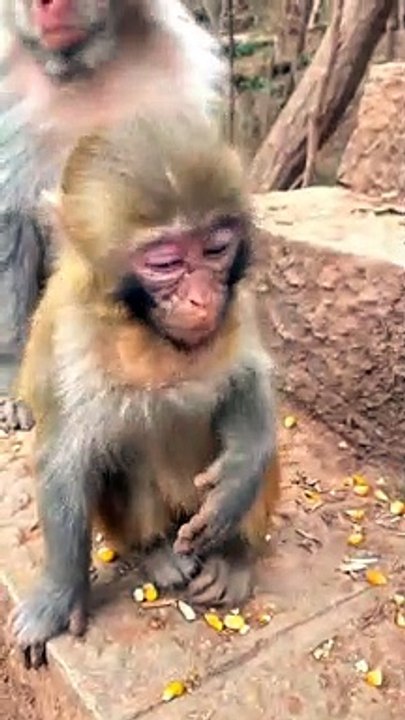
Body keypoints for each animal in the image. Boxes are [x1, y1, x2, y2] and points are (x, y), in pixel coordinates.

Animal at [10, 112, 280, 670]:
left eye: (216, 248)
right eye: (165, 263)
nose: (202, 298)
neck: (153, 336)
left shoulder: (238, 304)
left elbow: (247, 378)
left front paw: (238, 479)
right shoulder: (72, 330)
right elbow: (66, 458)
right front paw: (59, 597)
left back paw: (234, 558)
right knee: (123, 456)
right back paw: (156, 551)